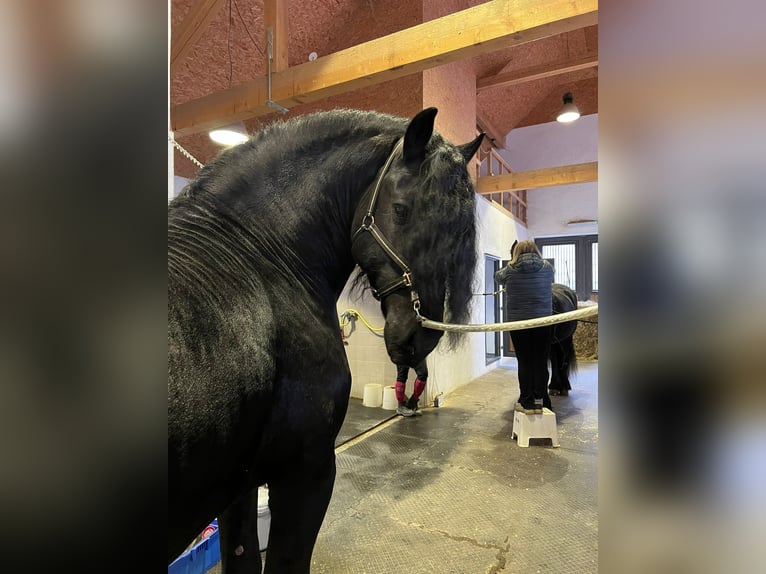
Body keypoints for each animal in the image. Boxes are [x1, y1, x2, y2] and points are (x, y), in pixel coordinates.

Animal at [169, 109, 484, 574]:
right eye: (401, 209)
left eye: (458, 234)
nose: (419, 337)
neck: (259, 257)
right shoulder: (307, 474)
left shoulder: (238, 490)